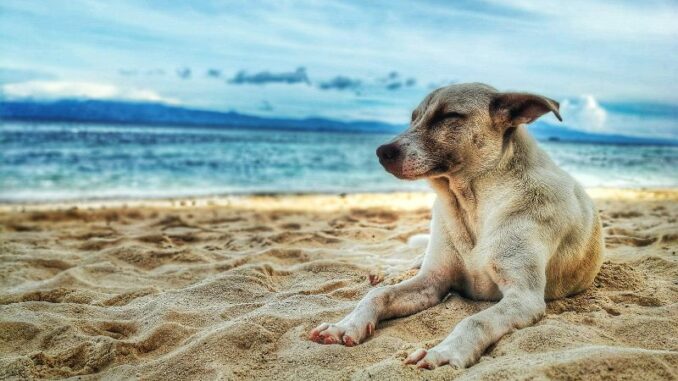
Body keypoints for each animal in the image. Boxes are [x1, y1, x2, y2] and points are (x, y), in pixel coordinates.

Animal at [310, 82, 604, 368]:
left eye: (448, 116)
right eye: (413, 118)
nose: (382, 152)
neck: (470, 205)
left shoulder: (524, 297)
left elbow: (475, 320)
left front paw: (443, 353)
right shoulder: (432, 280)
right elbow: (378, 295)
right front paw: (346, 325)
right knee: (408, 265)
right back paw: (387, 271)